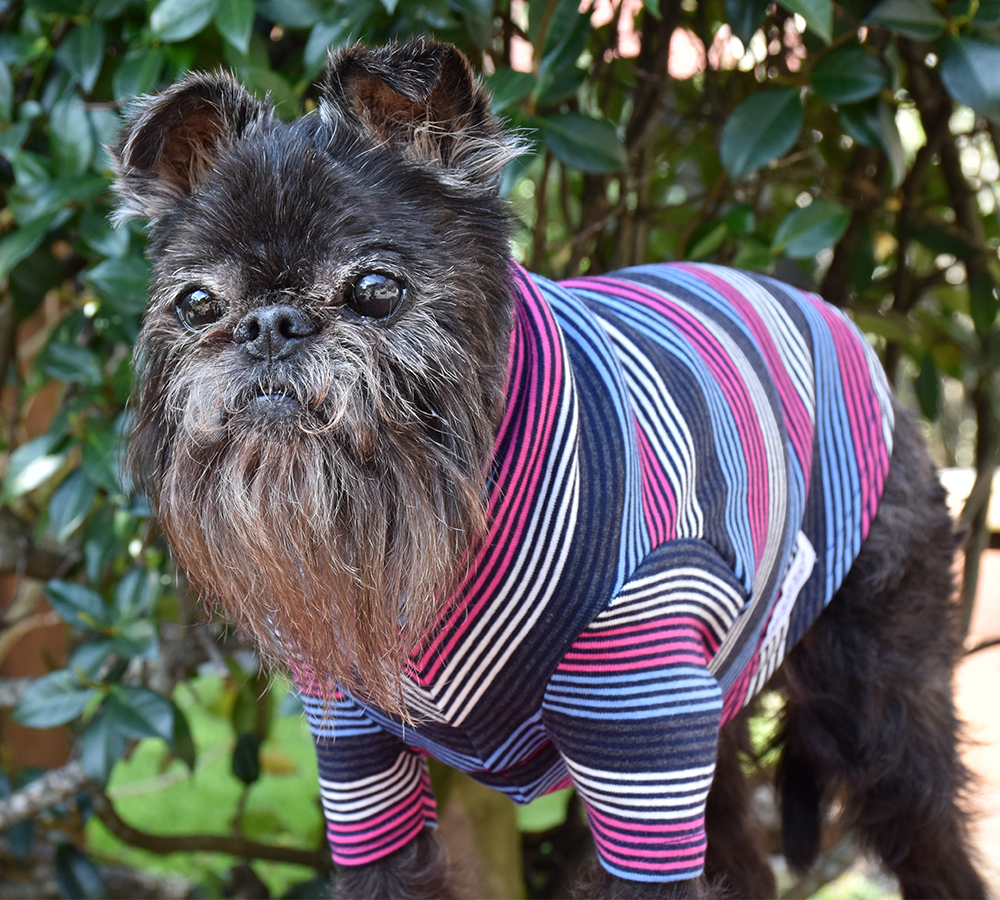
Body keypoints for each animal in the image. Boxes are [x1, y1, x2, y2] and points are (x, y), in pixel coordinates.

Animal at [109, 38, 984, 900]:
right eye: (196, 304)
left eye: (375, 289)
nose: (268, 323)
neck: (452, 521)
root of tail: (828, 311)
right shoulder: (358, 764)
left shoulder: (647, 744)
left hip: (879, 709)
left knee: (930, 837)